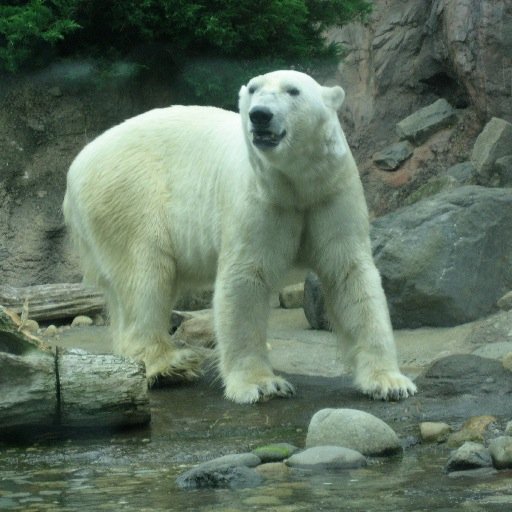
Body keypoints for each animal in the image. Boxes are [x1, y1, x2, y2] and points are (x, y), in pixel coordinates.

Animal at [63, 69, 416, 404]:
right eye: (254, 89)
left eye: (293, 90)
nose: (260, 115)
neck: (296, 184)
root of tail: (76, 166)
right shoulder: (257, 199)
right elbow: (245, 279)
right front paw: (262, 384)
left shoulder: (330, 193)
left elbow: (349, 275)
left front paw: (390, 383)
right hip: (128, 195)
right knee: (146, 274)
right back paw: (169, 365)